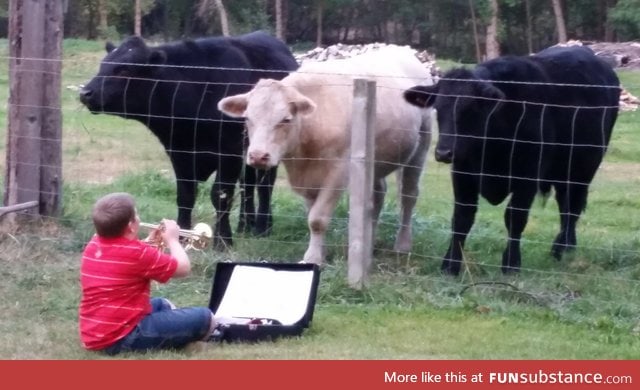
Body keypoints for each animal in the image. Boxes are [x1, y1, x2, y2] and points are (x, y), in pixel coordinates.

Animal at [79, 32, 298, 248]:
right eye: (103, 65)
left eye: (124, 70)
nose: (85, 93)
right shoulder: (179, 152)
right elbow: (185, 194)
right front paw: (181, 235)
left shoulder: (229, 152)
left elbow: (221, 195)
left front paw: (223, 240)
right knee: (249, 184)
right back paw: (246, 225)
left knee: (265, 185)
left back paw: (262, 227)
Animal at [218, 46, 432, 266]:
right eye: (247, 118)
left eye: (286, 119)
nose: (258, 155)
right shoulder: (308, 179)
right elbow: (311, 216)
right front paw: (319, 253)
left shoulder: (338, 173)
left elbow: (317, 219)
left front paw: (312, 258)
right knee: (377, 197)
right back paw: (367, 246)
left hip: (421, 147)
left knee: (408, 195)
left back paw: (402, 245)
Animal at [404, 45, 620, 274]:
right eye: (438, 108)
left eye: (470, 108)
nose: (444, 152)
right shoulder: (463, 173)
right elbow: (462, 217)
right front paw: (450, 265)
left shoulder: (528, 176)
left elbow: (515, 217)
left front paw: (511, 263)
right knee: (566, 204)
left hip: (582, 169)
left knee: (571, 207)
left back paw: (561, 248)